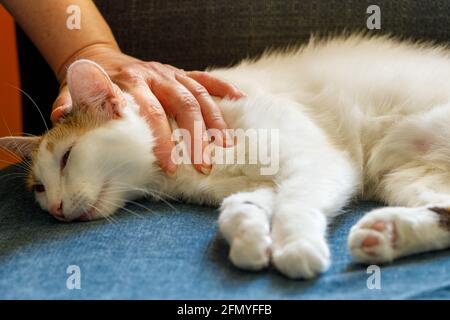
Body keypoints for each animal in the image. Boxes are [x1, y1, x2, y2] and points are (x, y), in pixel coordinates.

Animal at [0, 35, 450, 278]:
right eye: (39, 188)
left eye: (66, 157)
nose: (56, 209)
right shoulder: (257, 183)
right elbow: (238, 207)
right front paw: (250, 236)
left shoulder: (315, 161)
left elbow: (293, 205)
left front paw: (294, 245)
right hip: (407, 177)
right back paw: (386, 234)